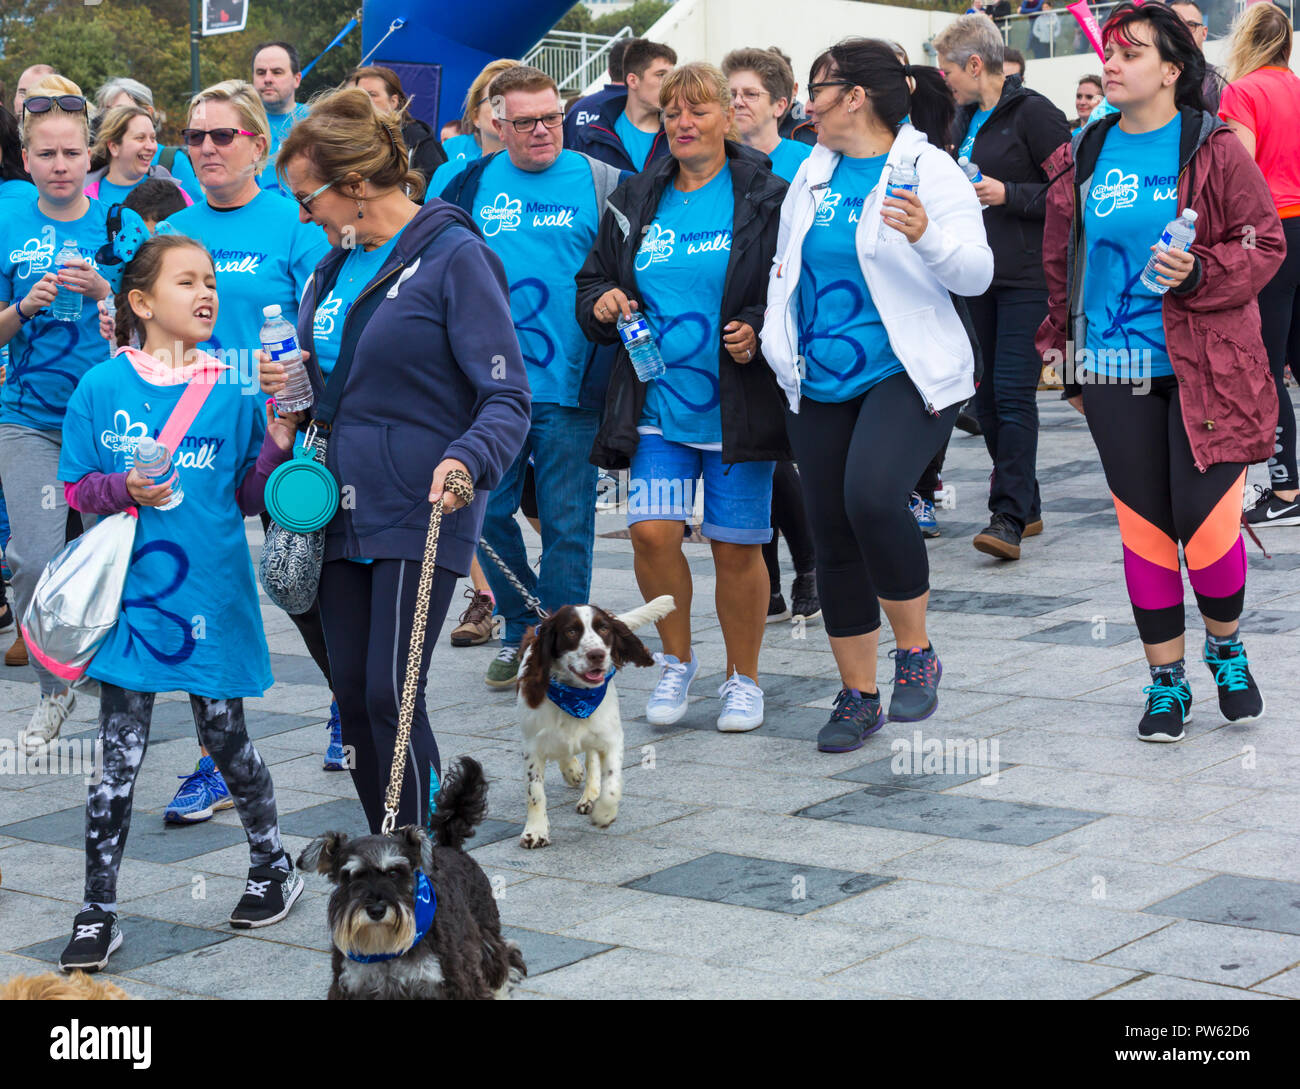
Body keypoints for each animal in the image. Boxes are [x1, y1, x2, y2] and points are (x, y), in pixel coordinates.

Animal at [297, 758, 525, 998]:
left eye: (395, 873)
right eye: (350, 877)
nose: (376, 911)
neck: (386, 952)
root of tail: (450, 847)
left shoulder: (455, 979)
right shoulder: (350, 985)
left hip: (484, 934)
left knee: (502, 965)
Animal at [512, 597, 676, 852]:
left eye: (604, 629)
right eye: (571, 631)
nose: (597, 654)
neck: (576, 696)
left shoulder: (611, 738)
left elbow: (612, 784)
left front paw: (603, 814)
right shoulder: (531, 745)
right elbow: (535, 791)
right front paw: (535, 832)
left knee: (592, 760)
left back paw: (589, 794)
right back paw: (572, 771)